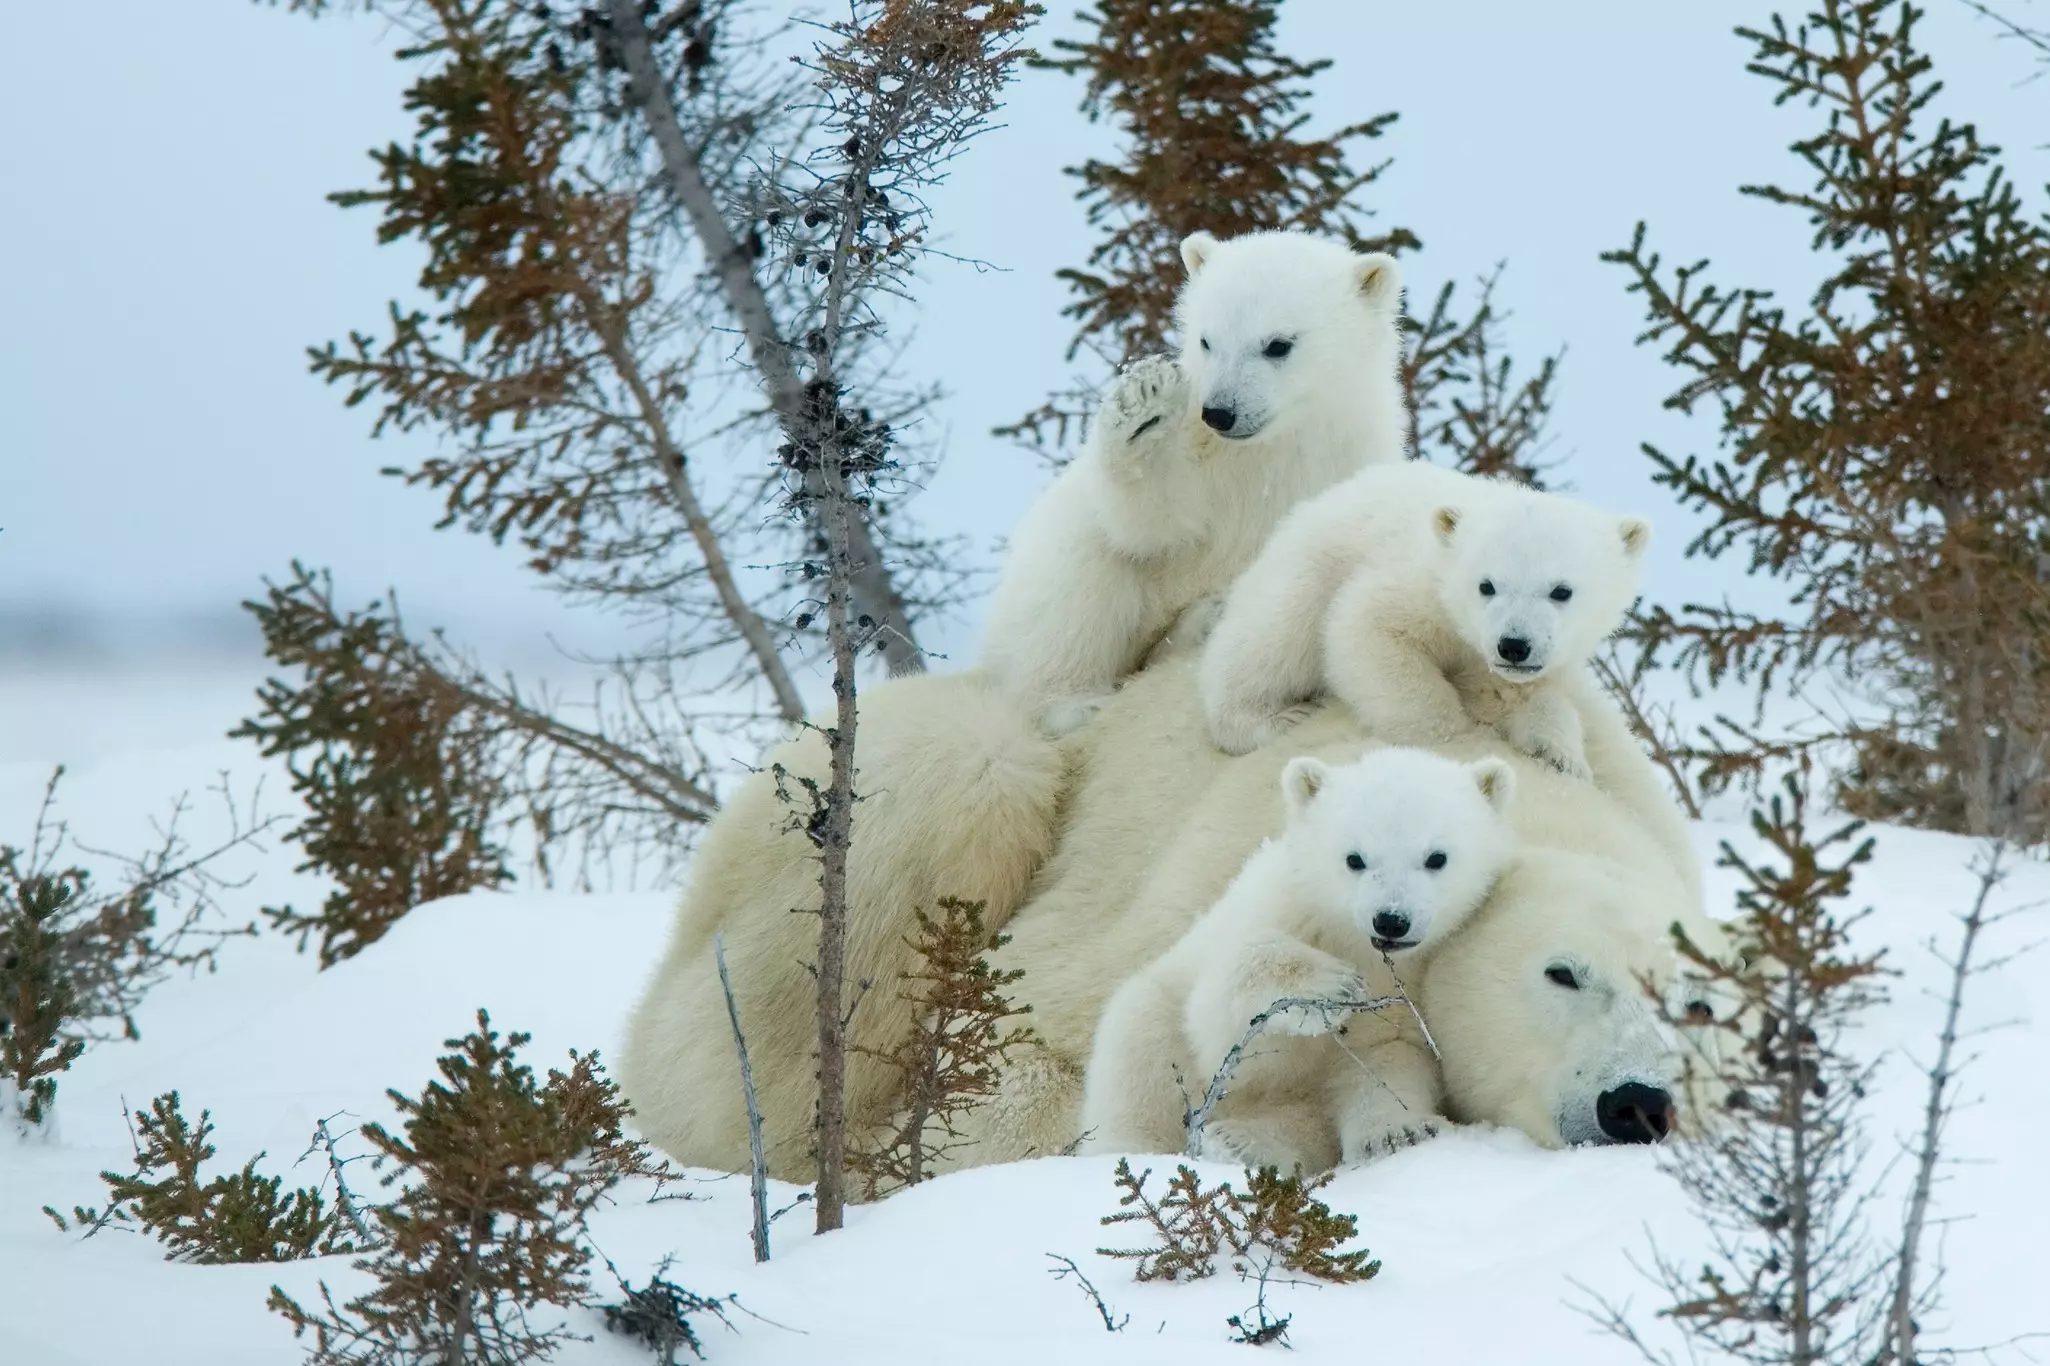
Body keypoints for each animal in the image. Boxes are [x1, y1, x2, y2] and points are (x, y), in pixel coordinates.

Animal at [978, 229, 1407, 736]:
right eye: (1206, 340)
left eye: (1278, 345)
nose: (1219, 412)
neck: (1270, 450)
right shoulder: (1199, 454)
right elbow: (1152, 526)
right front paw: (1142, 412)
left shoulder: (1345, 461)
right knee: (1078, 582)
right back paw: (1075, 701)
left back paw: (1203, 620)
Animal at [1079, 746, 1518, 1173]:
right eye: (1354, 859)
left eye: (1436, 857)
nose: (1391, 920)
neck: (1354, 942)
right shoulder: (1280, 909)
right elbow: (1217, 1018)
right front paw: (1333, 986)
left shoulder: (1418, 979)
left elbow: (1386, 1055)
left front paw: (1396, 1134)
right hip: (1153, 1015)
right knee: (1141, 1058)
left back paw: (1244, 1144)